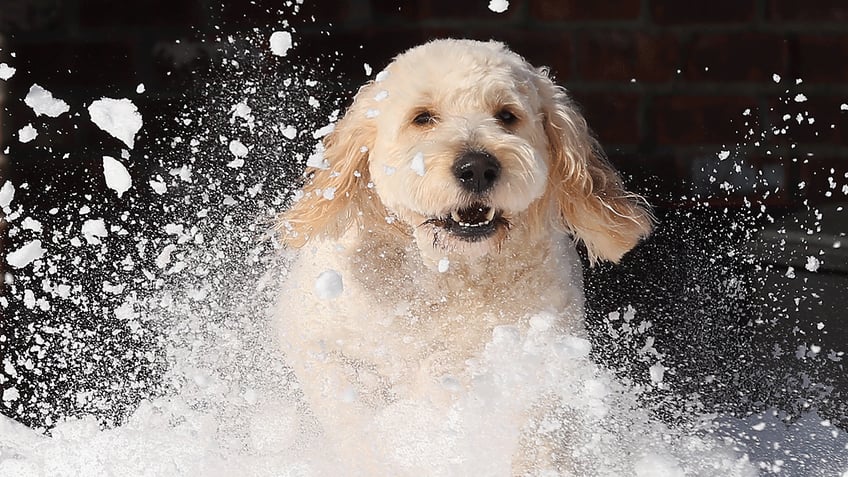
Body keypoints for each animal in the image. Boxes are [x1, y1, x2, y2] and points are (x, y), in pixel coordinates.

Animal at [274, 38, 652, 472]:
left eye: (506, 115)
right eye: (422, 117)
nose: (477, 167)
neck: (450, 275)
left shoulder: (539, 355)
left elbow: (537, 432)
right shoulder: (314, 335)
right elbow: (355, 418)